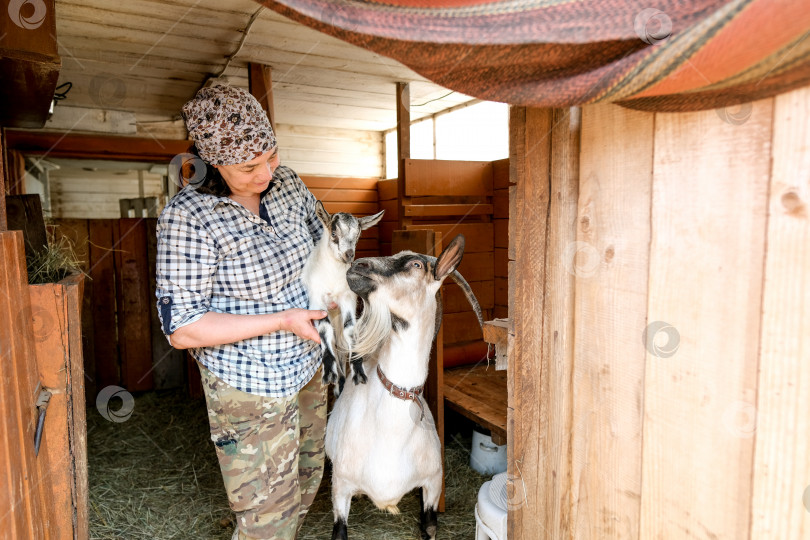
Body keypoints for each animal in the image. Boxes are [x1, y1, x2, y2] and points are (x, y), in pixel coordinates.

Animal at [302, 200, 384, 394]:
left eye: (358, 235)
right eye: (334, 233)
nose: (349, 255)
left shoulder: (347, 298)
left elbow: (350, 329)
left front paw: (358, 371)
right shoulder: (316, 299)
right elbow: (324, 328)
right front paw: (328, 372)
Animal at [326, 235, 482, 540]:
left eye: (416, 264)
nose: (357, 265)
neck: (392, 435)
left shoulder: (432, 484)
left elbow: (430, 526)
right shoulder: (340, 488)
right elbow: (339, 531)